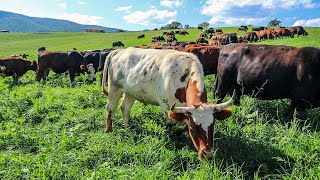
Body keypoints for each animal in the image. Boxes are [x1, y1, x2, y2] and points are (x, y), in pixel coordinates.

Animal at [102, 47, 235, 158]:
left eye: (213, 125)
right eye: (193, 127)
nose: (207, 153)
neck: (184, 76)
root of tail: (118, 51)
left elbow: (181, 126)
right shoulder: (166, 107)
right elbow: (171, 125)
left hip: (130, 92)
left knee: (125, 108)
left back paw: (128, 128)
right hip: (114, 88)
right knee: (110, 109)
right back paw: (108, 131)